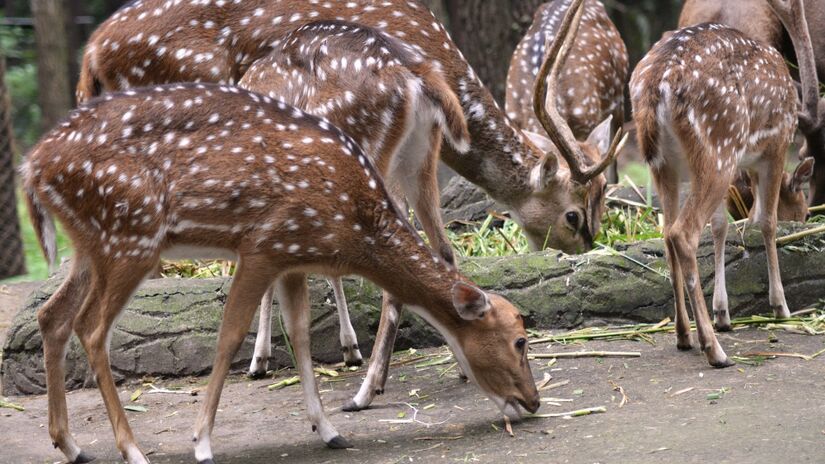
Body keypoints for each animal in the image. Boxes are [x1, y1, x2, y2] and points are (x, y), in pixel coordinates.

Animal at [22, 83, 540, 464]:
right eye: (519, 340)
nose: (534, 402)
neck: (352, 226)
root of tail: (32, 168)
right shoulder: (264, 245)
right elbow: (230, 335)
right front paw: (203, 443)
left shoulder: (295, 255)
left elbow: (301, 335)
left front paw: (329, 430)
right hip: (131, 238)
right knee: (92, 329)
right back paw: (131, 450)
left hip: (91, 245)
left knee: (53, 317)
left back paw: (72, 446)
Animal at [236, 20, 470, 377]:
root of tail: (414, 74)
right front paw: (349, 347)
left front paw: (259, 358)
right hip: (420, 155)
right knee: (443, 250)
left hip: (367, 151)